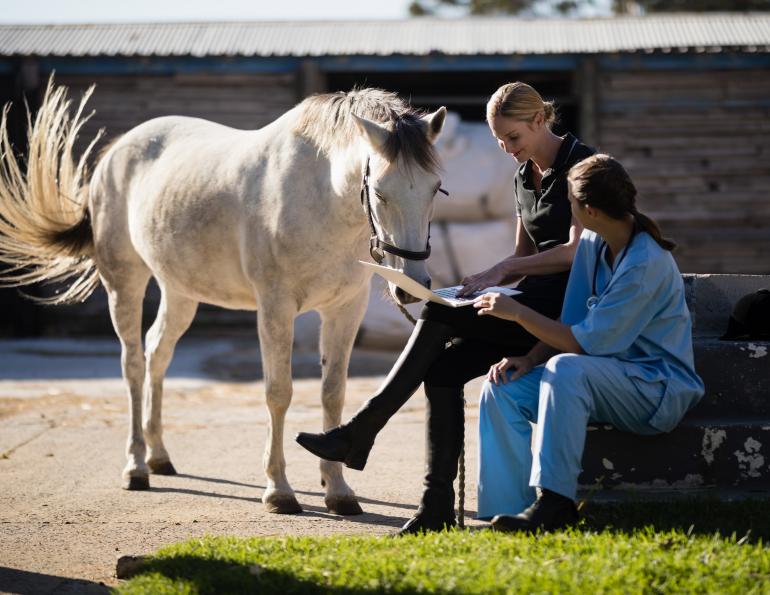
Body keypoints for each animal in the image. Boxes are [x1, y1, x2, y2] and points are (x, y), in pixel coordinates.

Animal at [0, 80, 446, 515]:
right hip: (124, 283)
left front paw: (337, 490)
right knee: (133, 366)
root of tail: (117, 151)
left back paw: (160, 457)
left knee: (156, 353)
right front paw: (278, 490)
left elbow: (332, 394)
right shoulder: (275, 309)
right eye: (380, 192)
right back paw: (136, 467)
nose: (411, 286)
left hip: (179, 293)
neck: (319, 194)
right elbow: (278, 393)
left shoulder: (344, 309)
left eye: (435, 189)